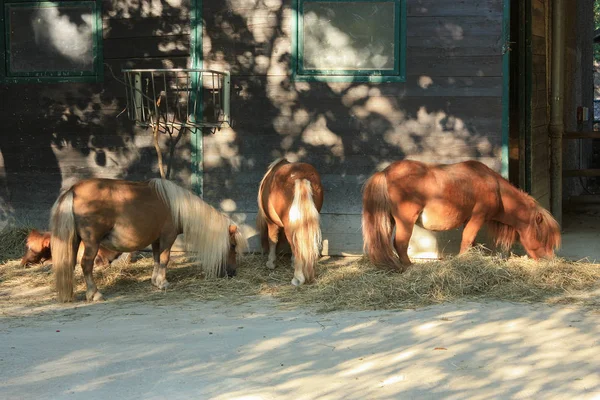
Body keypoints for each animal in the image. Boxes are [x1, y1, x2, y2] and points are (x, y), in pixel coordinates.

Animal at [50, 177, 247, 302]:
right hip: (91, 242)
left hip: (74, 241)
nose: (232, 273)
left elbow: (156, 259)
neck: (175, 206)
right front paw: (163, 283)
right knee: (86, 265)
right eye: (232, 245)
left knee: (70, 264)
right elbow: (165, 259)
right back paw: (95, 294)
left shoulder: (156, 240)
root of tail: (73, 190)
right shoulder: (168, 237)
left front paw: (155, 281)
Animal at [256, 158, 326, 286]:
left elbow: (272, 240)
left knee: (296, 246)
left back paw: (297, 278)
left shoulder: (271, 223)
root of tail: (301, 176)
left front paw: (271, 262)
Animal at [360, 159, 564, 268]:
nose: (550, 260)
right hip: (405, 221)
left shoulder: (469, 220)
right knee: (400, 244)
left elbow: (470, 241)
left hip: (390, 220)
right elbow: (467, 240)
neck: (496, 189)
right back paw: (408, 267)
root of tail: (385, 172)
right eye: (543, 238)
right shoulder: (478, 217)